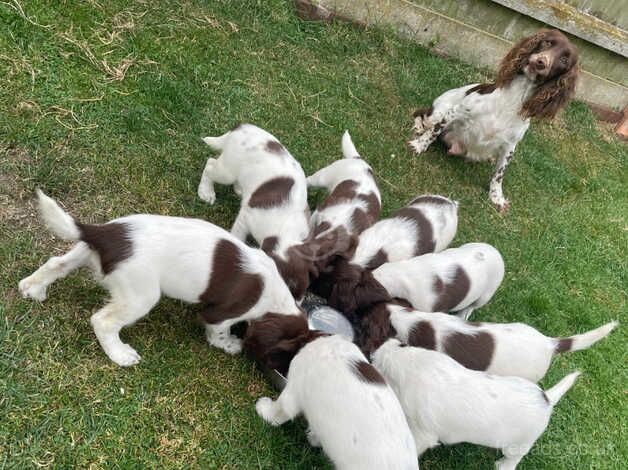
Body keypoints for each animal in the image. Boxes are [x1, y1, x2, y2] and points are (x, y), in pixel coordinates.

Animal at [19, 189, 302, 366]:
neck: (276, 296)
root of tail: (106, 233)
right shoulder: (220, 313)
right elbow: (218, 332)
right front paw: (230, 345)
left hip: (85, 251)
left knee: (56, 263)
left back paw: (32, 288)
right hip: (140, 294)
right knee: (103, 321)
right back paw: (120, 355)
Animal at [372, 340, 580, 468]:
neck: (404, 360)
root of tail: (547, 398)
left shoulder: (424, 433)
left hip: (518, 445)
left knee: (514, 459)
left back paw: (503, 465)